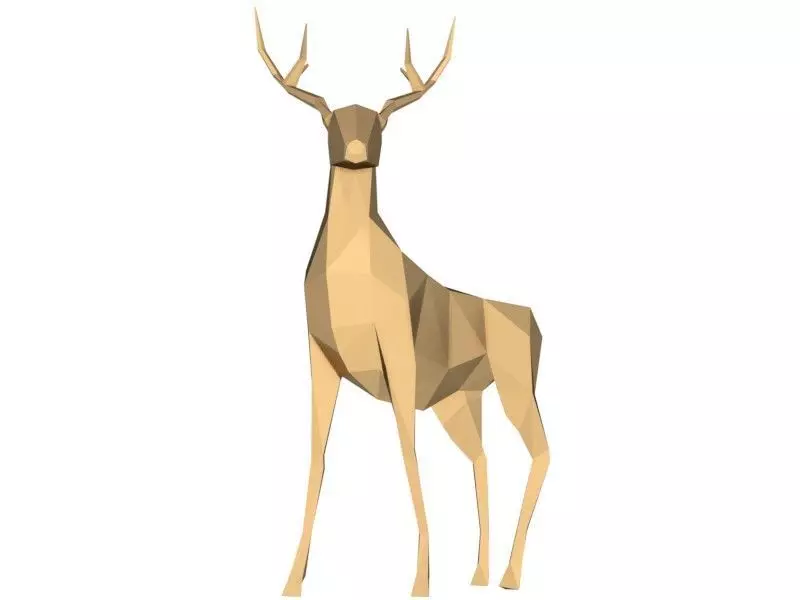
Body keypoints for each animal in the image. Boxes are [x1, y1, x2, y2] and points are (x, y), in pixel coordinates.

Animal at [255, 10, 549, 597]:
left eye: (380, 124)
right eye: (330, 122)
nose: (355, 150)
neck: (354, 288)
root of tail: (535, 321)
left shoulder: (401, 358)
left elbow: (408, 454)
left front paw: (419, 581)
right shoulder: (321, 356)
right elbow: (317, 458)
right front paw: (291, 581)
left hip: (515, 383)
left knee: (541, 451)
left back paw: (509, 575)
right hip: (461, 401)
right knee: (482, 457)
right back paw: (478, 573)